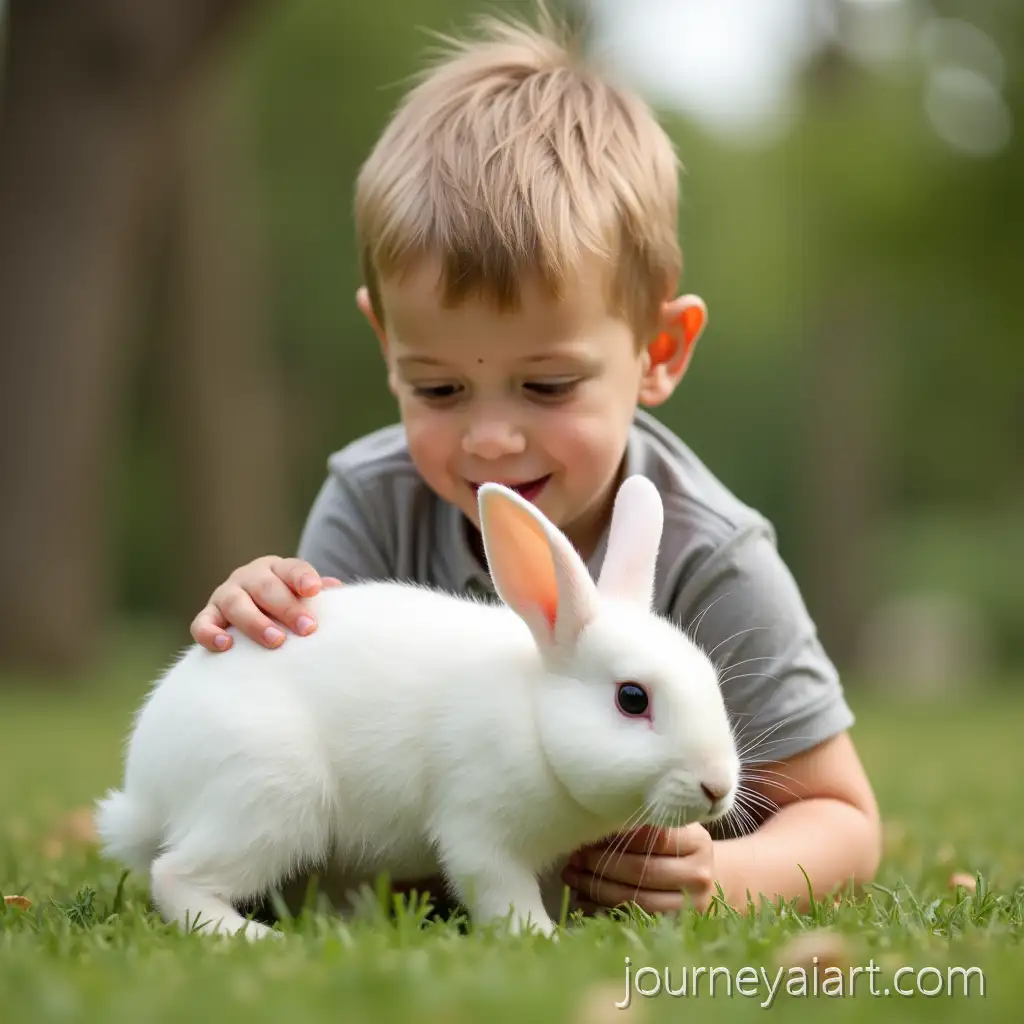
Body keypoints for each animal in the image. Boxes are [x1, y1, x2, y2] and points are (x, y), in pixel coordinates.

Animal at [94, 474, 740, 941]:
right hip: (267, 798)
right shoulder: (480, 830)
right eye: (633, 699)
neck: (536, 718)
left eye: (710, 679)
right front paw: (543, 940)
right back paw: (255, 939)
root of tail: (147, 789)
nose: (717, 786)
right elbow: (502, 893)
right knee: (176, 877)